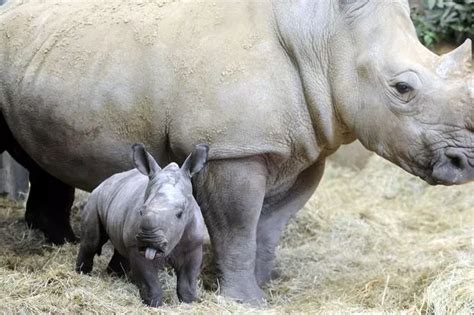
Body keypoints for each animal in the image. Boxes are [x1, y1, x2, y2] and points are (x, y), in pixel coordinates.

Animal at [76, 144, 209, 308]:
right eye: (141, 211)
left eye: (180, 214)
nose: (149, 239)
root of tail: (105, 181)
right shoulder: (136, 246)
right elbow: (150, 283)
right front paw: (154, 305)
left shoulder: (194, 245)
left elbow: (188, 282)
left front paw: (188, 304)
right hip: (95, 197)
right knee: (92, 242)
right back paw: (82, 274)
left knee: (120, 251)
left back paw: (114, 277)